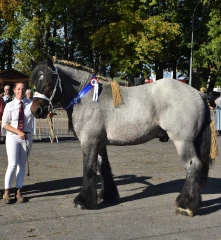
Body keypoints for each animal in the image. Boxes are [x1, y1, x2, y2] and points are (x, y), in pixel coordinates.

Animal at [30, 58, 217, 218]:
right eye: (35, 82)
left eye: (49, 82)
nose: (35, 110)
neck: (86, 97)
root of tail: (198, 94)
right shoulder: (99, 143)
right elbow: (103, 168)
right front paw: (107, 196)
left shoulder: (89, 141)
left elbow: (89, 168)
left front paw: (83, 201)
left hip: (183, 141)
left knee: (193, 166)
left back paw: (186, 206)